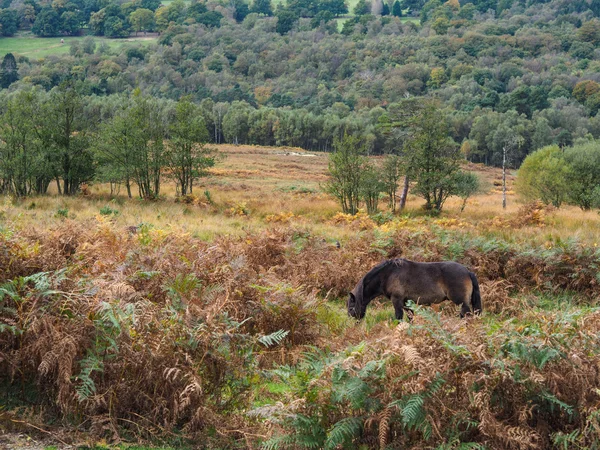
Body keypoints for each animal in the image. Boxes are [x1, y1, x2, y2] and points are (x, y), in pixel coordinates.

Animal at [346, 260, 482, 320]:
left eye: (351, 308)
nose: (354, 322)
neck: (387, 274)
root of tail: (467, 271)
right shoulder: (407, 303)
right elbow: (411, 317)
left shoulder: (397, 300)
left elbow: (399, 317)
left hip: (462, 302)